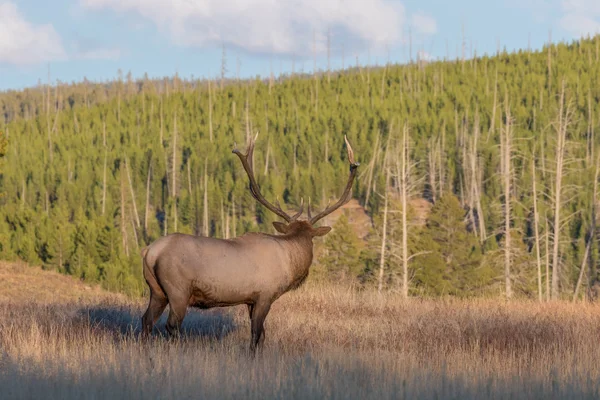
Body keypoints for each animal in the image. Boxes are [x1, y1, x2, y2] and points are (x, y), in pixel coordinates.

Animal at [141, 134, 358, 350]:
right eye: (312, 238)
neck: (290, 260)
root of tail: (150, 252)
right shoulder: (264, 295)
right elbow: (256, 335)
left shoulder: (250, 300)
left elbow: (262, 336)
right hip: (178, 290)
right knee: (171, 325)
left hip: (157, 290)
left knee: (146, 320)